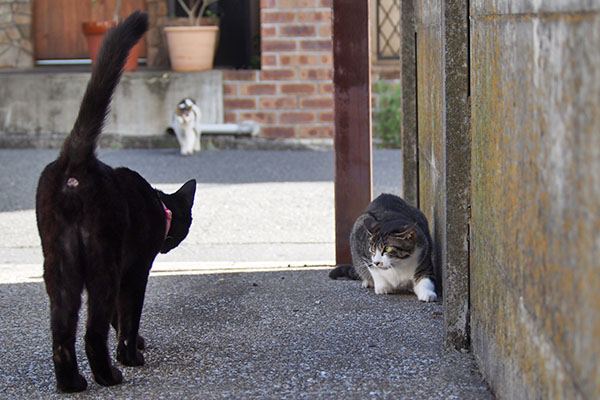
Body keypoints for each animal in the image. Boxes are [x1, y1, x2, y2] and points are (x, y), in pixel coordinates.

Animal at [35, 12, 195, 394]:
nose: (171, 243)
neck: (158, 204)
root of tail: (76, 161)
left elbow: (116, 319)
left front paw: (136, 344)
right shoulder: (135, 270)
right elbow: (127, 317)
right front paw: (132, 352)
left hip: (59, 263)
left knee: (62, 334)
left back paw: (72, 383)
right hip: (102, 262)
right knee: (92, 332)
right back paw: (110, 375)